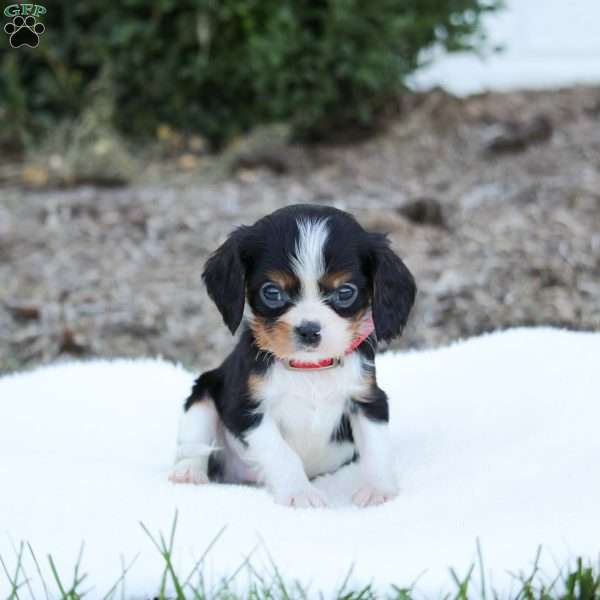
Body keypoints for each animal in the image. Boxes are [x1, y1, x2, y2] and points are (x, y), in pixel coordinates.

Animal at [166, 205, 414, 506]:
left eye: (345, 292)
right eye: (272, 292)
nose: (309, 330)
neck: (310, 369)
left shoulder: (367, 400)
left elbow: (377, 448)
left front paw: (379, 490)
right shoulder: (246, 409)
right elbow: (281, 453)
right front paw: (300, 493)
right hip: (202, 393)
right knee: (194, 442)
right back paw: (188, 472)